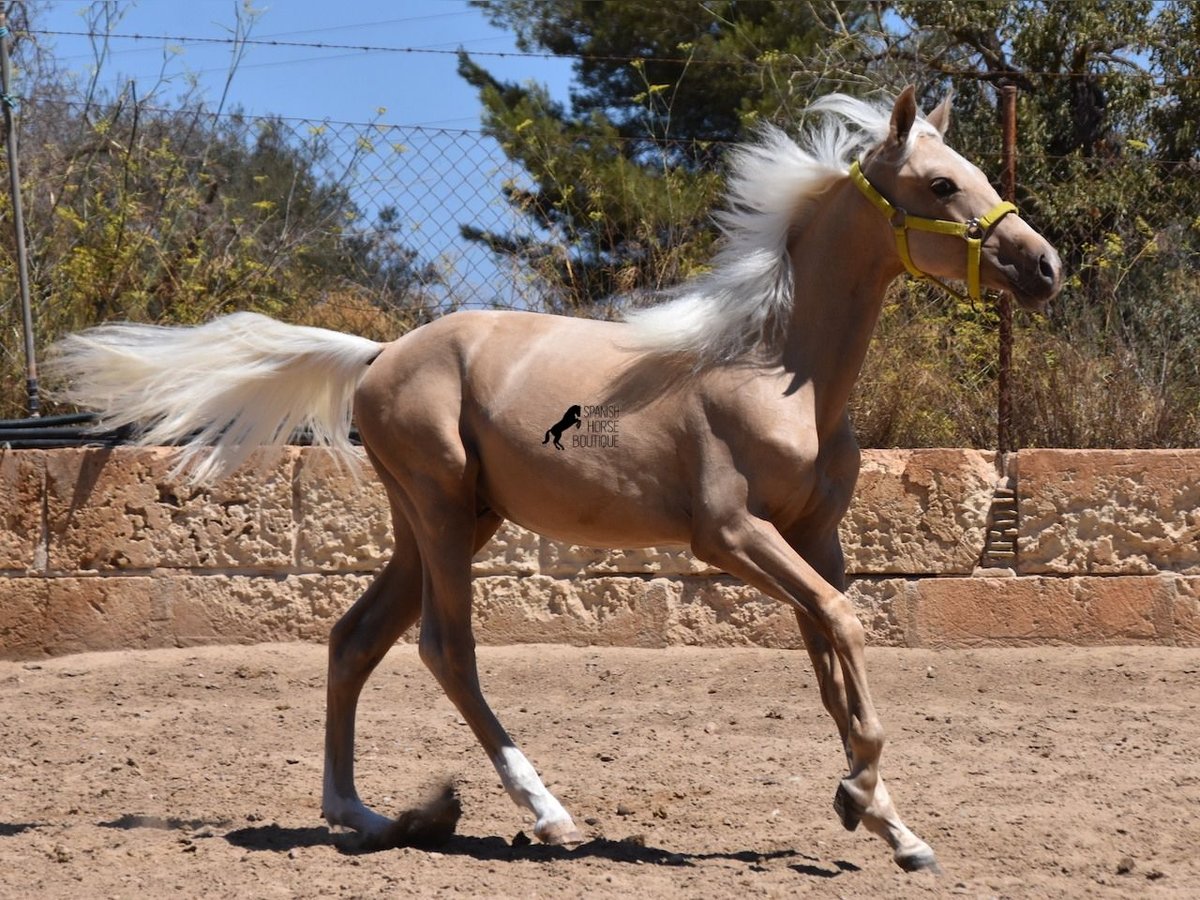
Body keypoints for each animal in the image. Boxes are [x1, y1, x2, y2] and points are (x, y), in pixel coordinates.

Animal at [48, 87, 1062, 874]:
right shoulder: (732, 536)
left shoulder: (814, 537)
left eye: (975, 168)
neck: (779, 369)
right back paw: (548, 814)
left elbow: (832, 665)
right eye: (941, 183)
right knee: (443, 650)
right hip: (443, 514)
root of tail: (378, 356)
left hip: (449, 520)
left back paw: (362, 815)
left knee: (353, 639)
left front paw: (888, 823)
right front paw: (860, 796)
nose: (1044, 265)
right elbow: (846, 628)